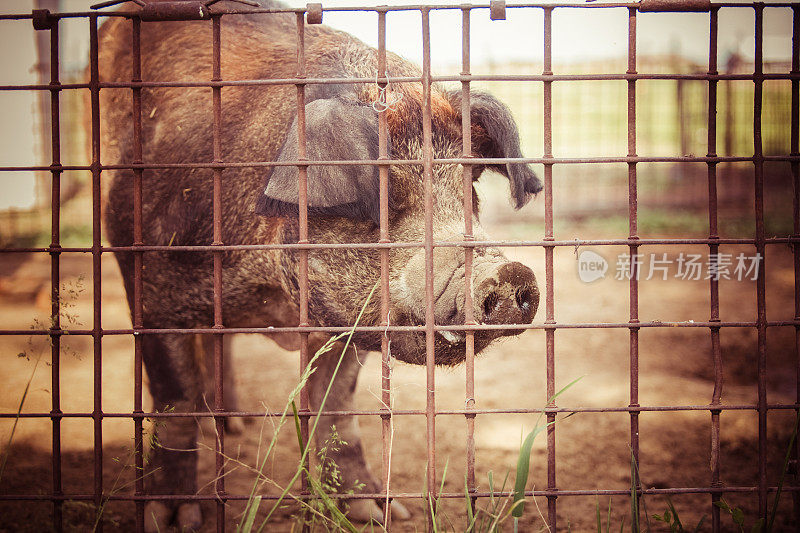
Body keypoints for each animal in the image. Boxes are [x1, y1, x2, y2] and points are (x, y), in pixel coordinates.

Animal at [97, 2, 540, 528]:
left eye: (469, 194)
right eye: (384, 199)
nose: (513, 272)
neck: (277, 301)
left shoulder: (347, 323)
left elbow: (336, 410)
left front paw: (380, 512)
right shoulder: (147, 270)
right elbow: (174, 398)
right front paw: (174, 521)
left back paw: (235, 423)